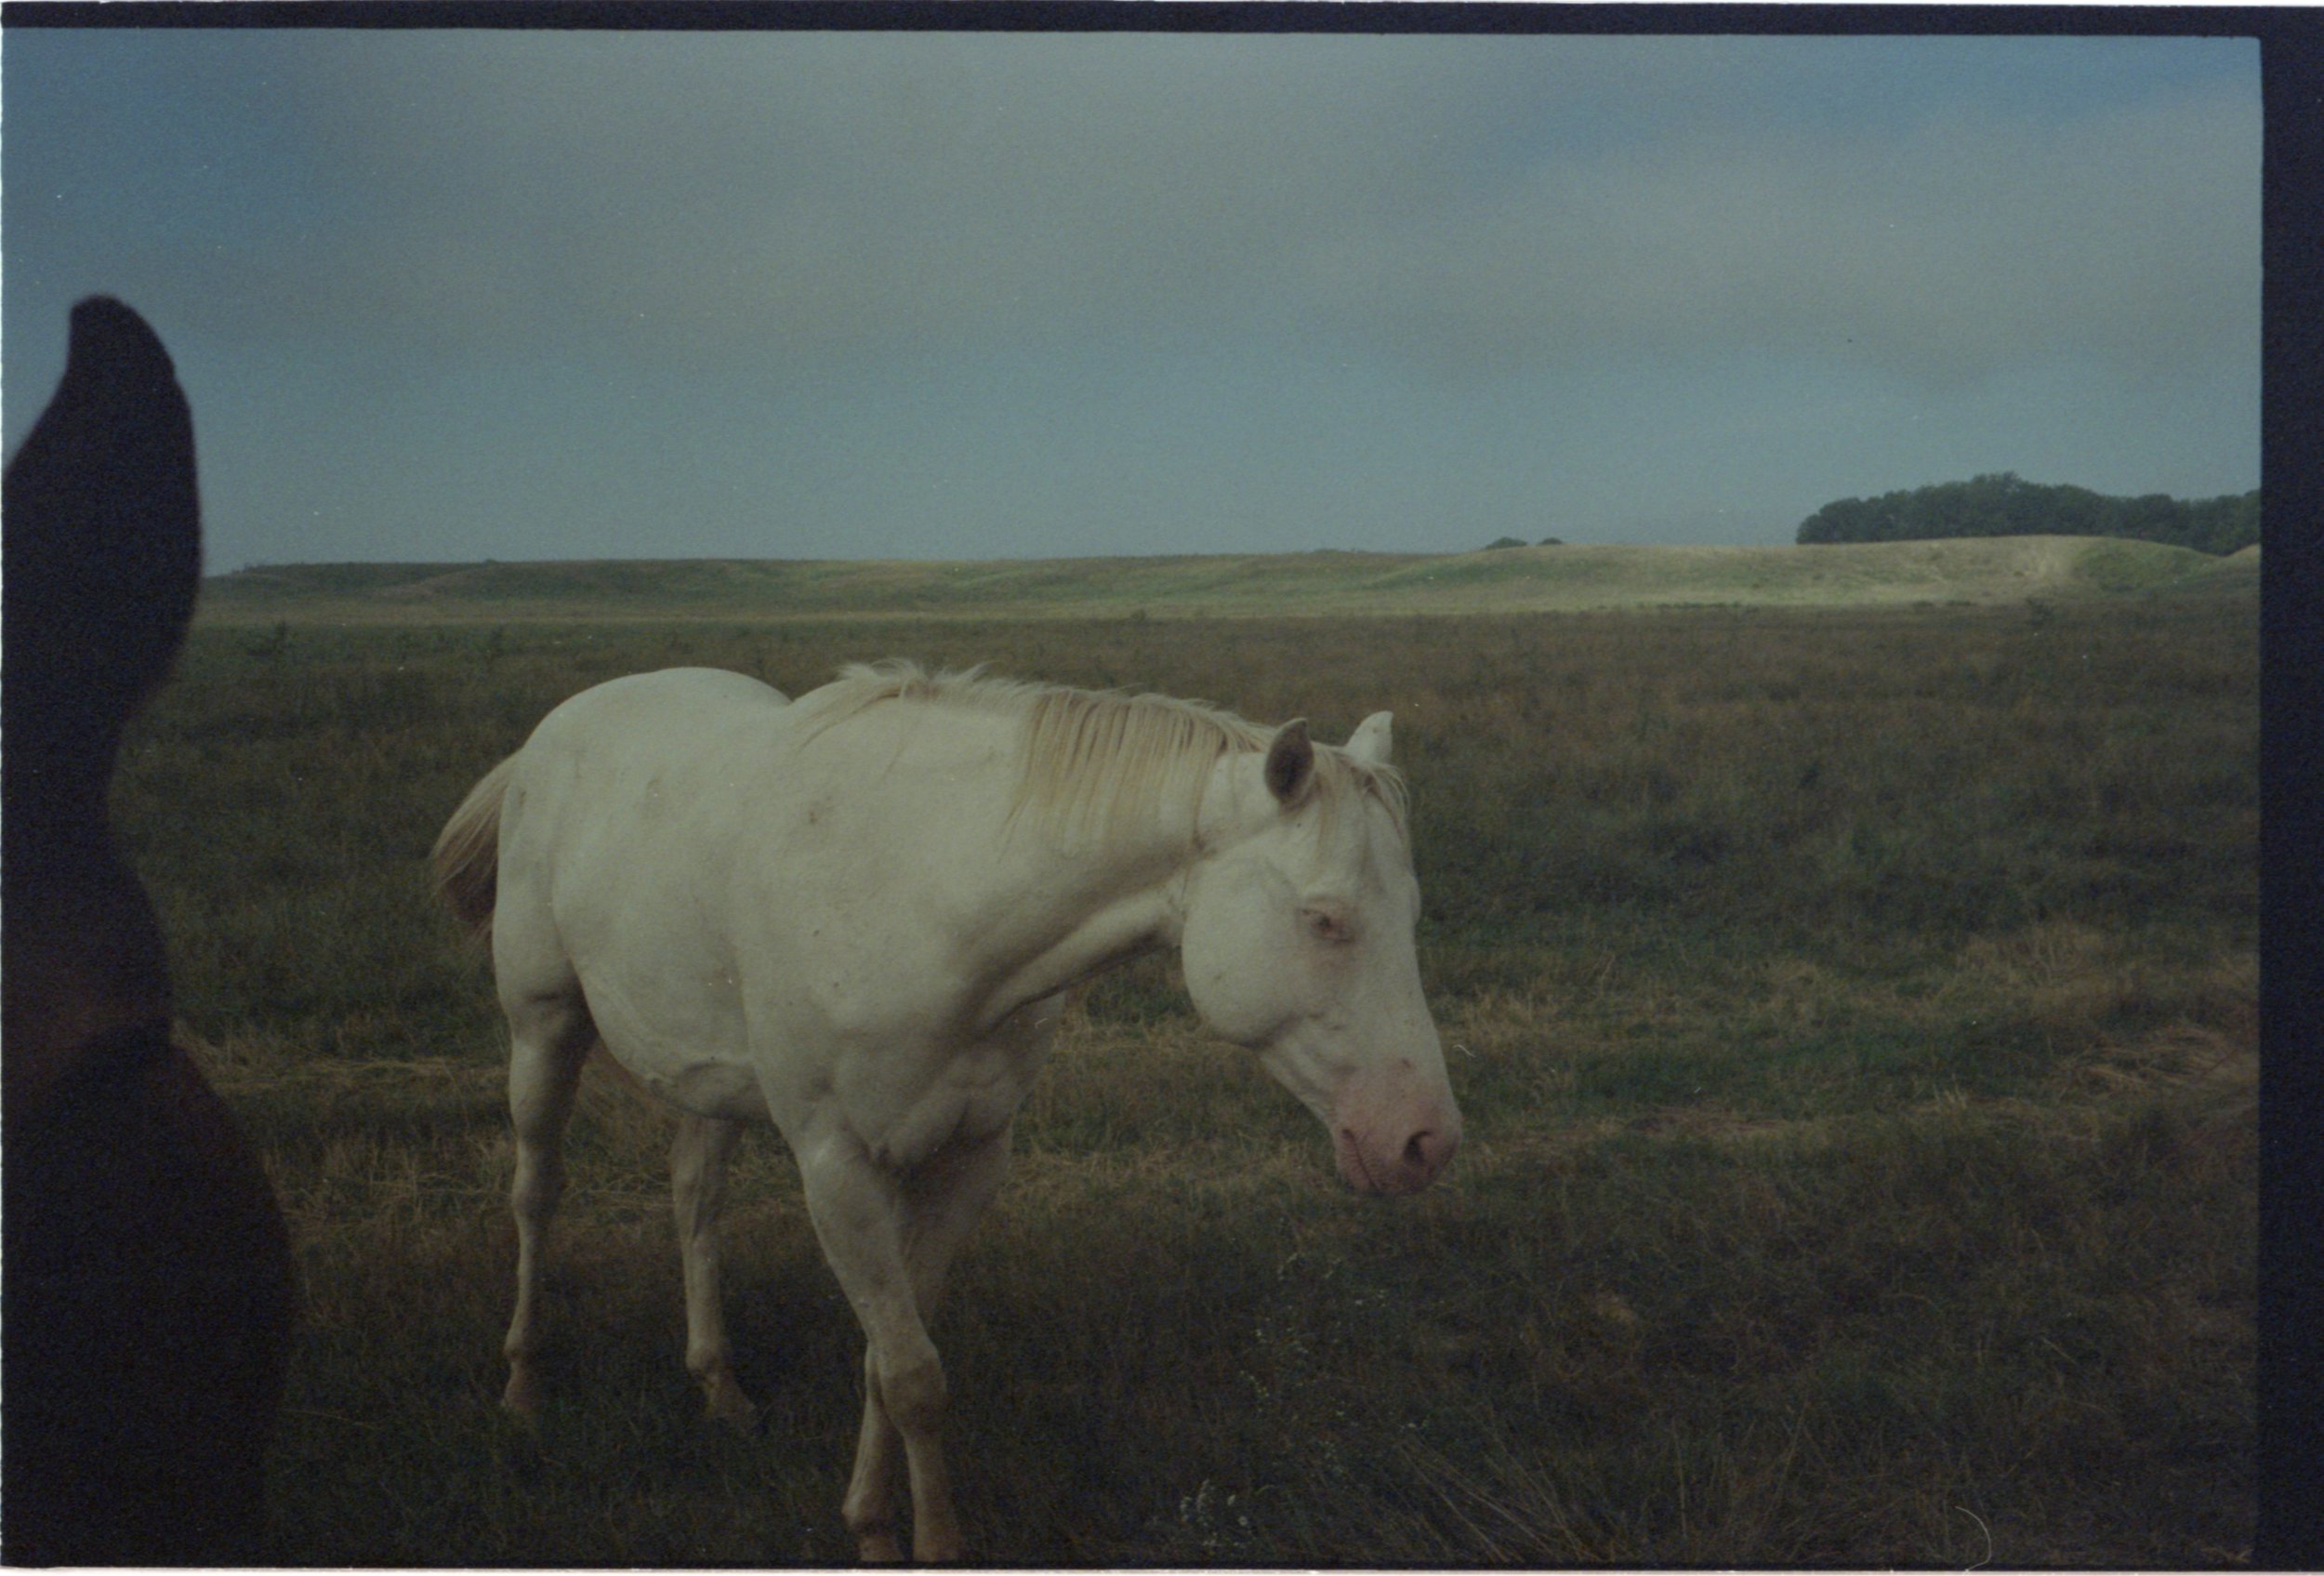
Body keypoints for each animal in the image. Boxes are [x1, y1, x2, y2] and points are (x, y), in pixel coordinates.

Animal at [428, 656, 1459, 1571]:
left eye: (1410, 912)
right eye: (1323, 919)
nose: (1424, 1141)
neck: (920, 891)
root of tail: (553, 734)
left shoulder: (967, 1156)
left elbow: (893, 1354)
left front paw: (876, 1523)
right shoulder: (837, 1164)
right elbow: (914, 1375)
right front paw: (926, 1540)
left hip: (706, 1076)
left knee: (695, 1201)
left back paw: (718, 1386)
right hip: (542, 1025)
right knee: (536, 1190)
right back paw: (523, 1381)